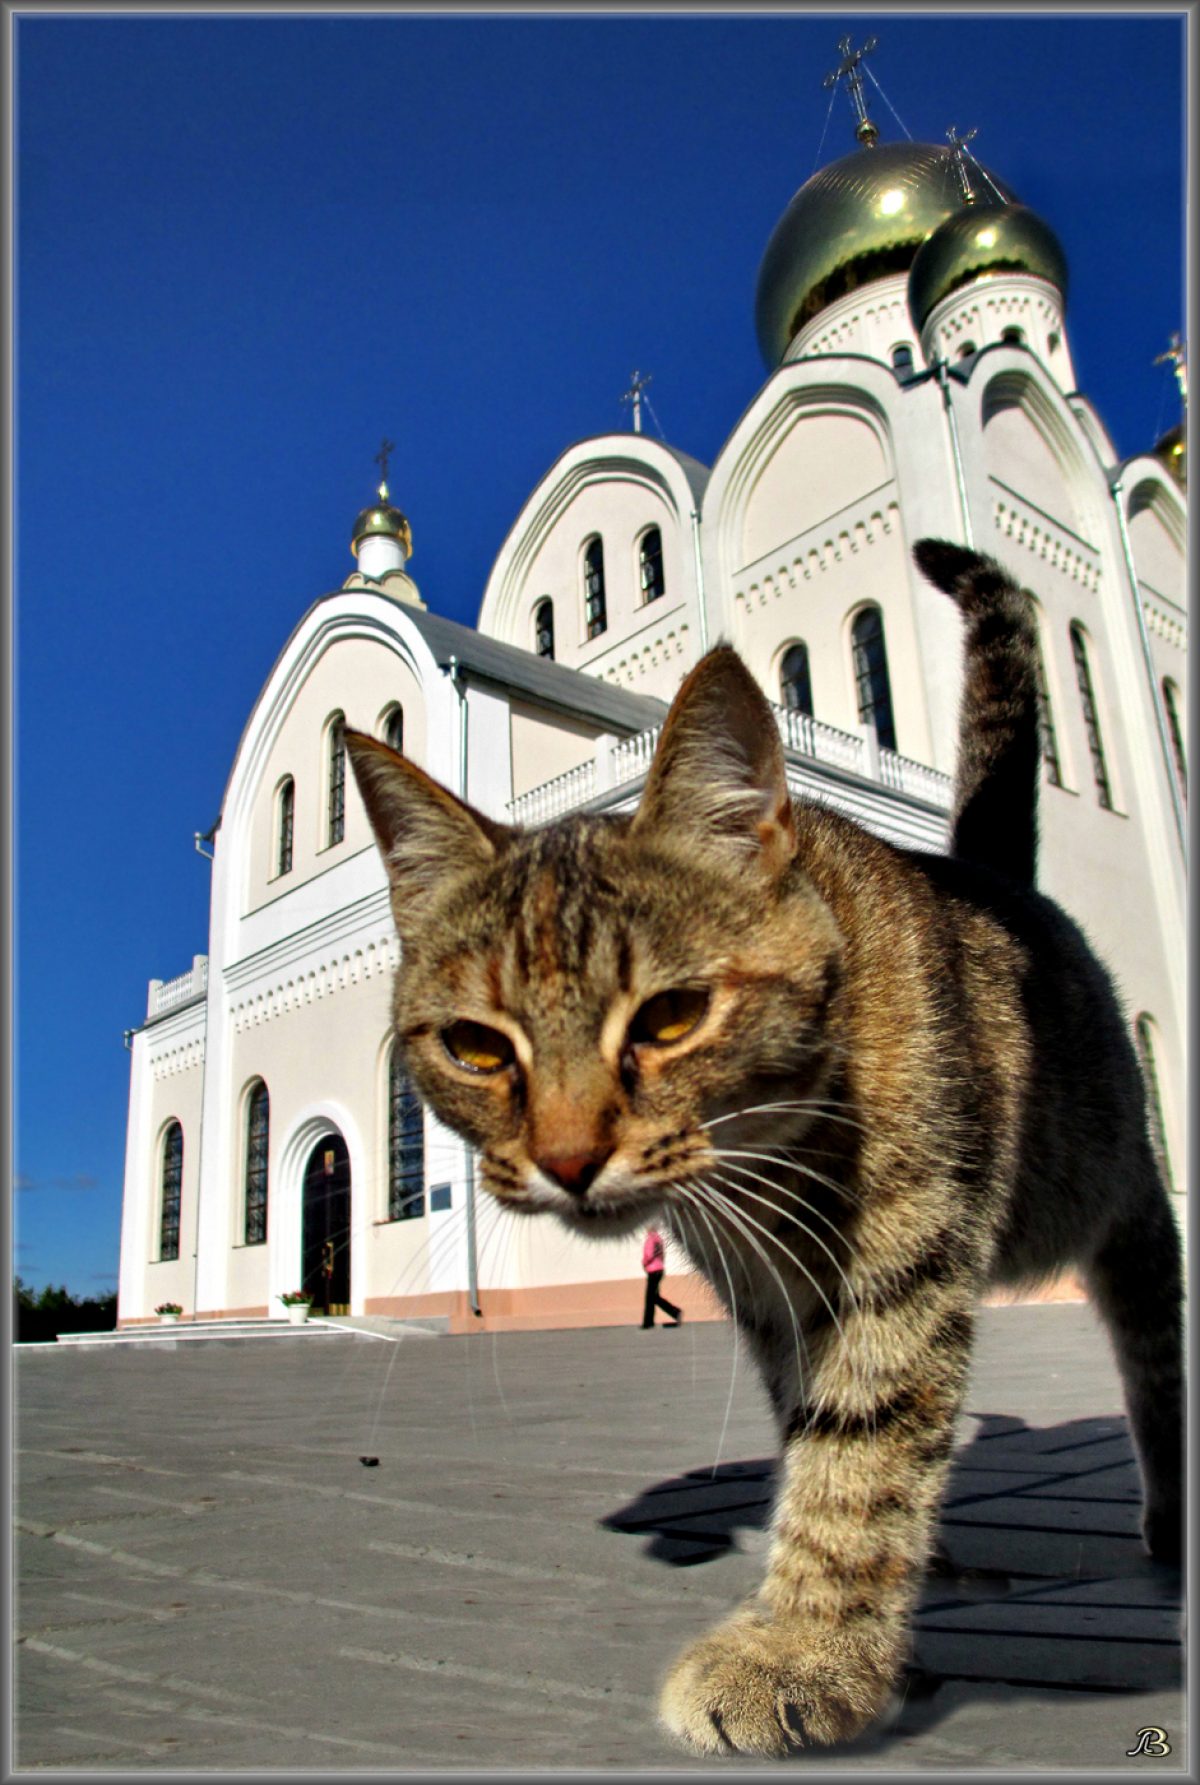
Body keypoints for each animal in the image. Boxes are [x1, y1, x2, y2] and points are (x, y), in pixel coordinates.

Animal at [344, 531, 1178, 1756]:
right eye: (477, 1047)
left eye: (670, 1018)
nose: (567, 1158)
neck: (779, 1158)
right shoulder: (776, 1300)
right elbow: (823, 1439)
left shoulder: (902, 1268)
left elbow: (864, 1451)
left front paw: (806, 1651)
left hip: (1111, 1192)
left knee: (1157, 1340)